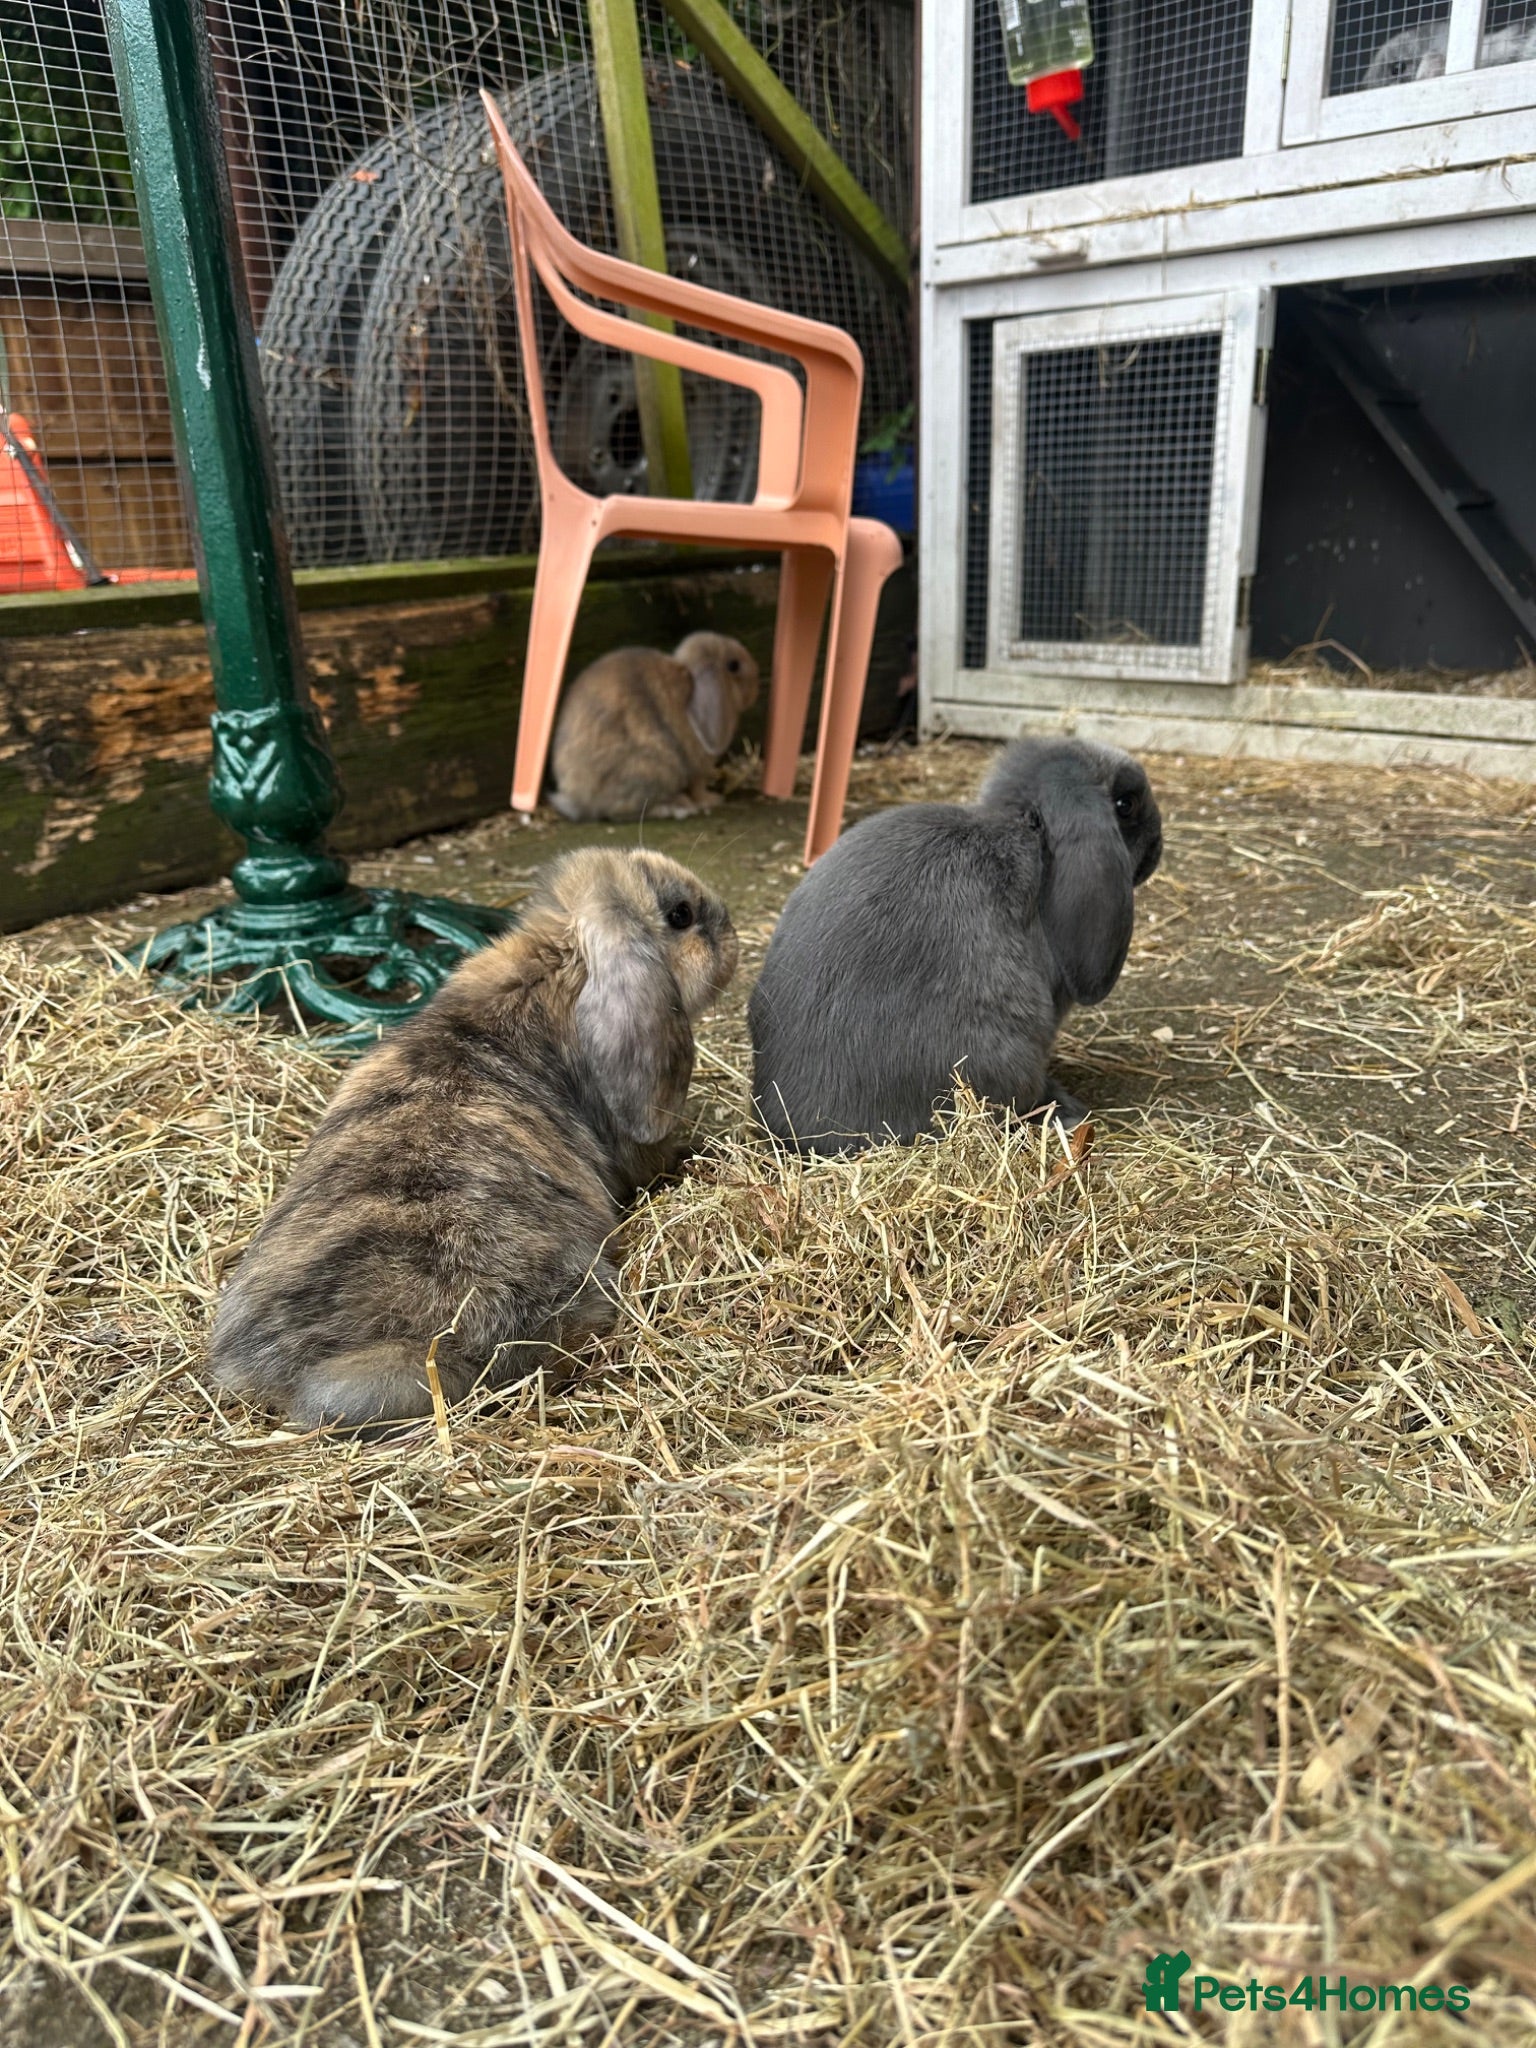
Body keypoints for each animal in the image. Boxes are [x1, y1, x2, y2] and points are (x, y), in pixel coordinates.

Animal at [549, 632, 761, 821]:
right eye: (734, 665)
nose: (756, 680)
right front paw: (713, 800)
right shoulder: (699, 769)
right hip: (654, 769)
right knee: (618, 812)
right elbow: (698, 789)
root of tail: (579, 801)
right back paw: (675, 807)